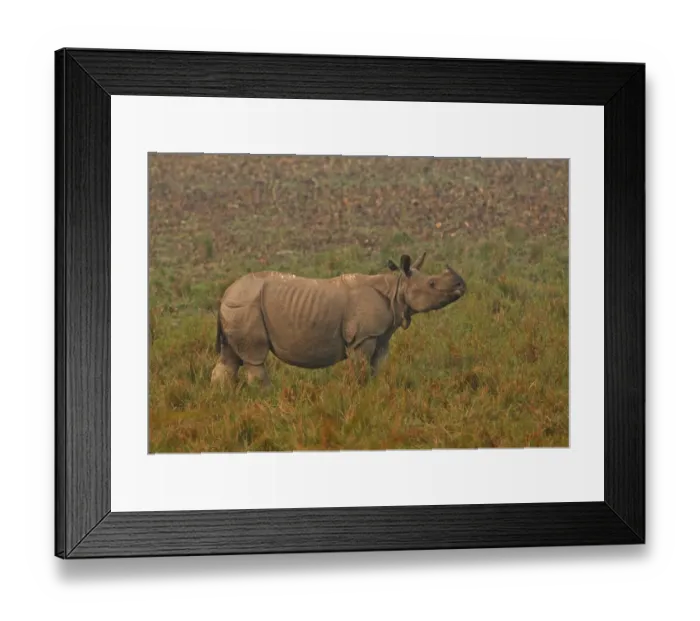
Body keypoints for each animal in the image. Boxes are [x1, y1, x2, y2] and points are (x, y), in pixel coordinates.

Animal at [210, 252, 466, 387]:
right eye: (432, 284)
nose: (461, 285)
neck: (396, 288)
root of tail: (225, 295)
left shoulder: (381, 334)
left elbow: (378, 366)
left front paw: (377, 391)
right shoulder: (362, 336)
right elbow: (361, 368)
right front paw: (360, 394)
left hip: (236, 307)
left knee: (229, 357)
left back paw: (222, 398)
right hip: (245, 306)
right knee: (254, 358)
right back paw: (266, 396)